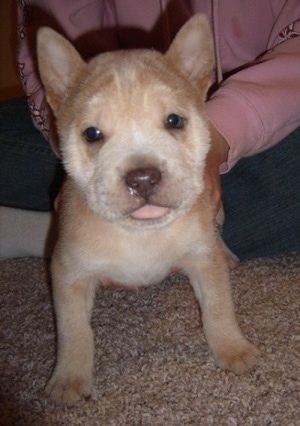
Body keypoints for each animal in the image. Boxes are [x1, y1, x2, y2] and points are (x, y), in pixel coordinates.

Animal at [37, 14, 258, 406]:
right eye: (91, 134)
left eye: (174, 121)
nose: (142, 177)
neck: (141, 233)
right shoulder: (69, 275)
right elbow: (73, 330)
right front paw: (69, 377)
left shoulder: (203, 260)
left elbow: (218, 307)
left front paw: (232, 347)